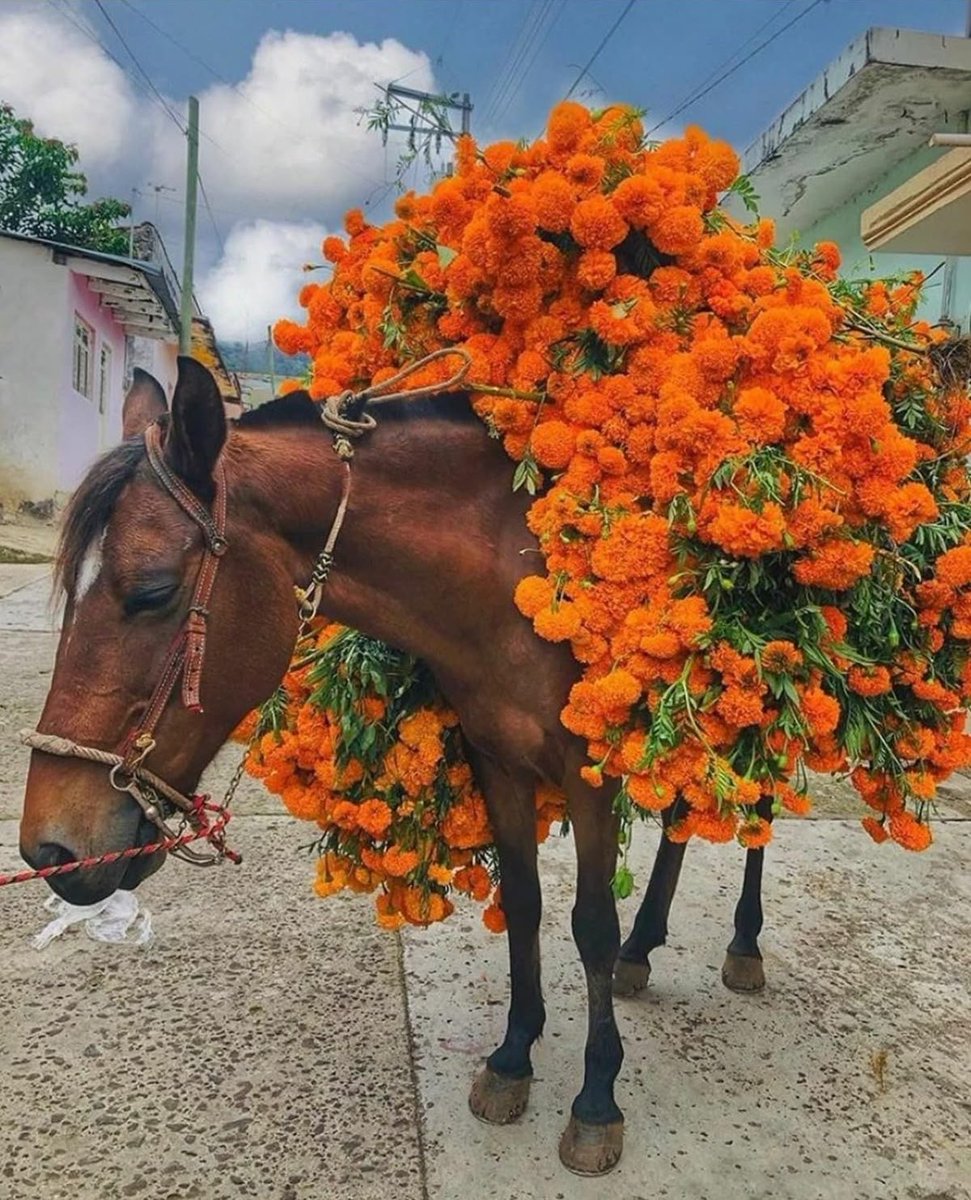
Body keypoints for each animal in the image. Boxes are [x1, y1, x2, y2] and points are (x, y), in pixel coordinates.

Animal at [19, 358, 772, 1176]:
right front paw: (513, 1057)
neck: (510, 573)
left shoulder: (590, 774)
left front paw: (596, 1099)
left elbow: (590, 926)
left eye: (151, 590)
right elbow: (526, 906)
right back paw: (646, 947)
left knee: (755, 816)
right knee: (683, 817)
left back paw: (743, 946)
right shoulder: (497, 760)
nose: (48, 850)